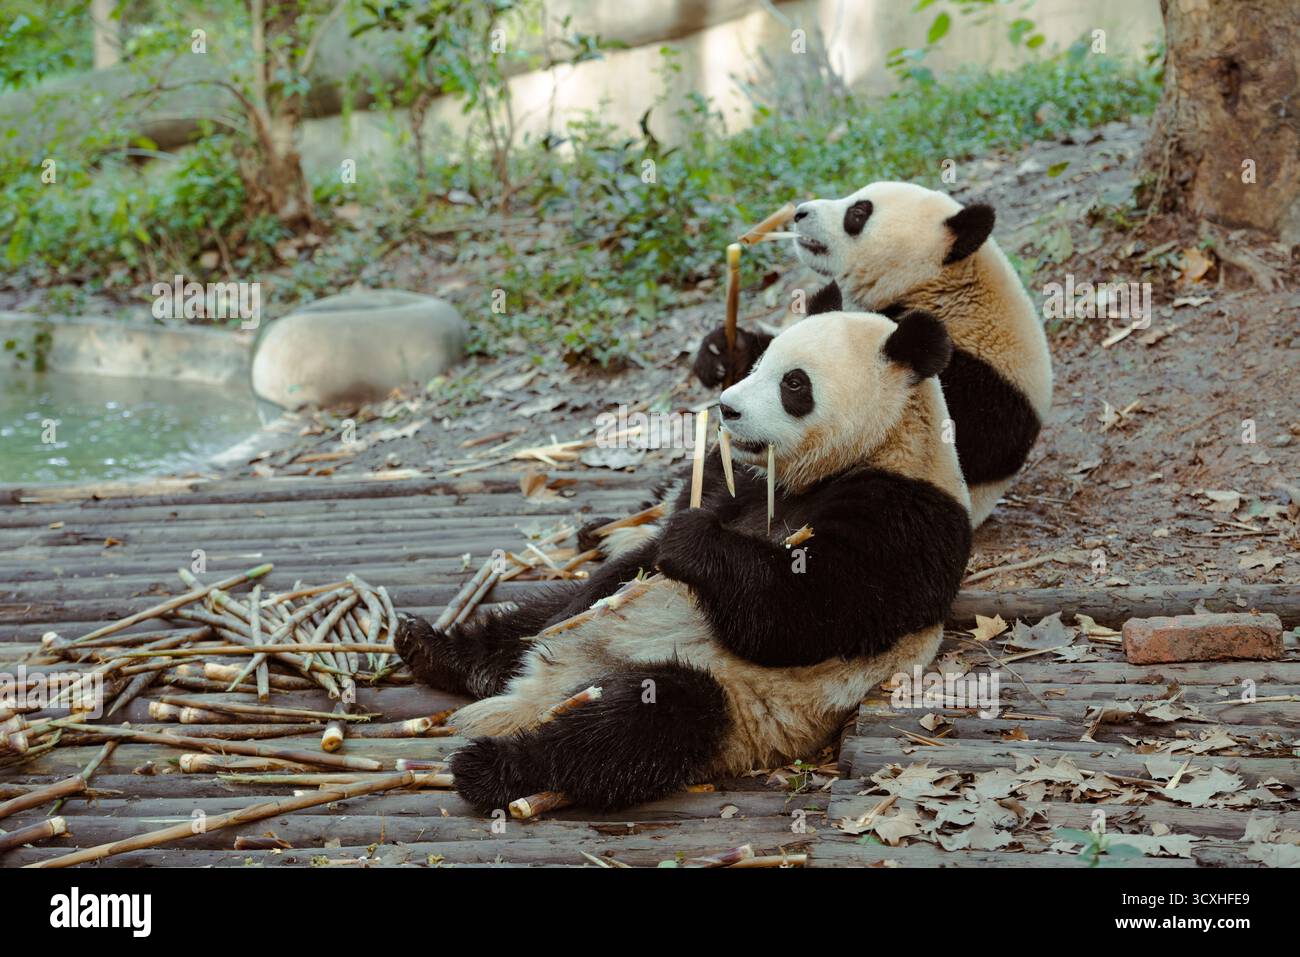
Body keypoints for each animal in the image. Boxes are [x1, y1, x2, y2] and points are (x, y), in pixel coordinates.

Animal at [395, 309, 972, 812]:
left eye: (794, 384)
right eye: (759, 363)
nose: (727, 409)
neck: (875, 446)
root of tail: (538, 692)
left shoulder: (907, 517)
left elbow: (807, 615)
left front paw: (691, 542)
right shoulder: (746, 485)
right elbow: (633, 564)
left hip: (736, 701)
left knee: (644, 722)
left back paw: (492, 767)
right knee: (539, 617)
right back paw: (434, 649)